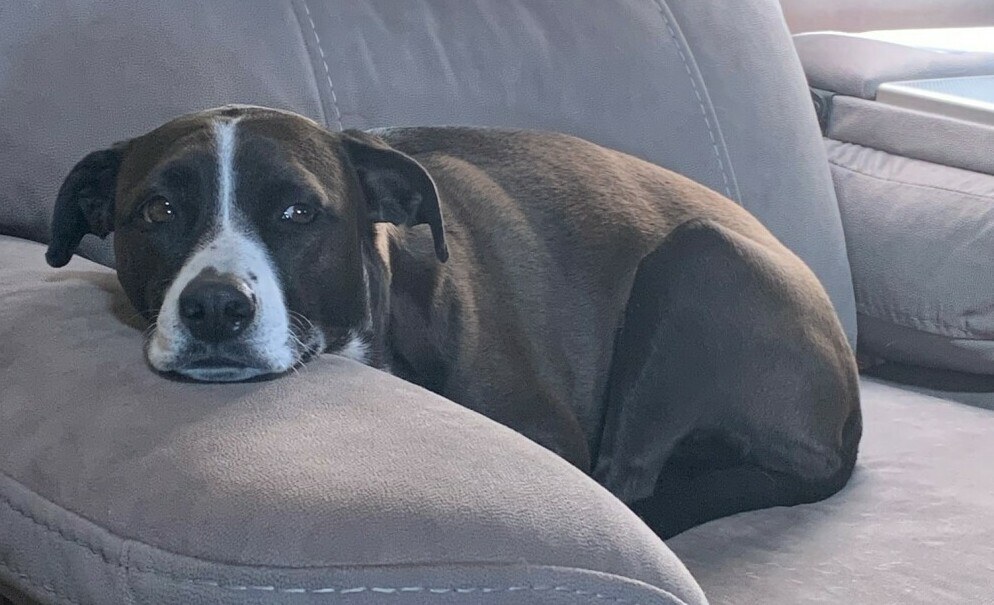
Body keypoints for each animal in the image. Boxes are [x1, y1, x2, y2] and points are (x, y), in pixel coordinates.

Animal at [44, 105, 860, 536]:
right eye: (158, 209)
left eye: (297, 211)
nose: (216, 306)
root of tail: (847, 423)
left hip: (701, 259)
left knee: (626, 482)